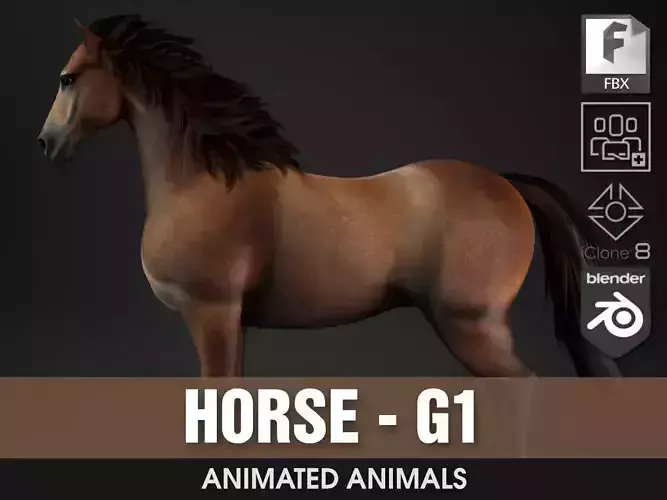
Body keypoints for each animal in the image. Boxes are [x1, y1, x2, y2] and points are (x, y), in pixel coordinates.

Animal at [37, 15, 619, 378]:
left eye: (68, 78)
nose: (46, 143)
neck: (202, 182)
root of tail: (506, 182)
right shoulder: (228, 322)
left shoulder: (212, 313)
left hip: (472, 326)